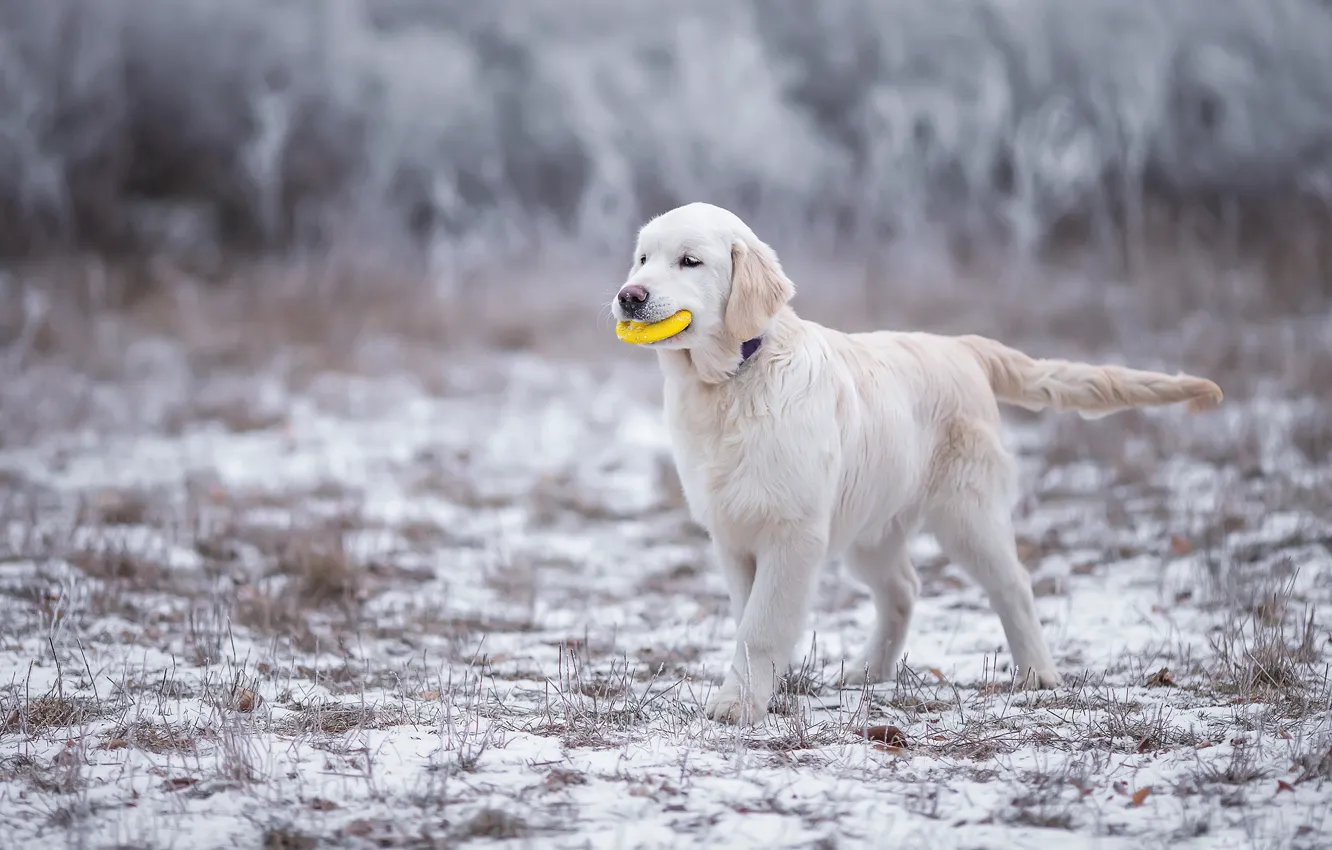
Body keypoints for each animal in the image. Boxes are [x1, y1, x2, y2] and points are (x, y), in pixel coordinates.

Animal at [610, 201, 1220, 724]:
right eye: (642, 258)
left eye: (690, 261)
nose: (629, 296)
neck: (732, 381)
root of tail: (964, 347)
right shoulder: (733, 535)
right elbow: (746, 619)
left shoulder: (791, 532)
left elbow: (760, 627)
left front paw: (736, 706)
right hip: (871, 524)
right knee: (902, 589)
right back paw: (869, 673)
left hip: (967, 514)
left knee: (1013, 584)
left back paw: (1037, 675)